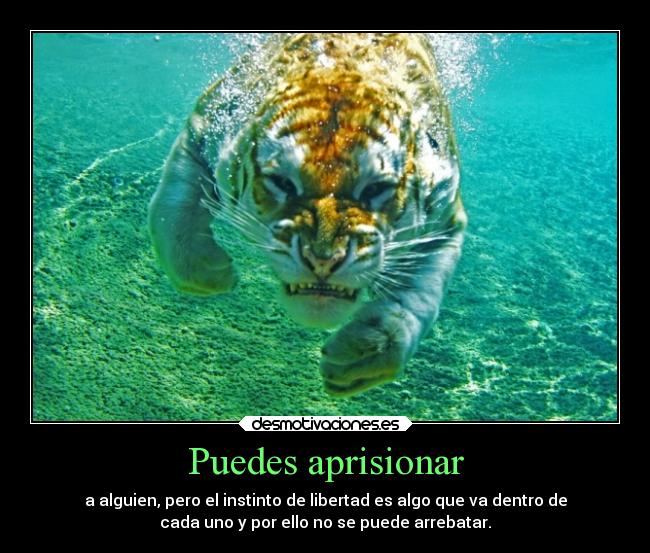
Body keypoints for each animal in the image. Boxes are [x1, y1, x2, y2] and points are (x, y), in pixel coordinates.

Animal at [148, 33, 467, 396]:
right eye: (283, 183)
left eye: (374, 189)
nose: (323, 260)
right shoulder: (203, 129)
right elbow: (170, 209)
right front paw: (212, 274)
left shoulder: (447, 217)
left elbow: (420, 297)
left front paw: (364, 356)